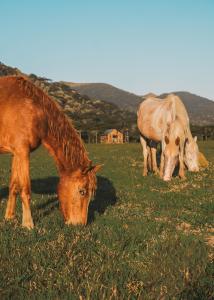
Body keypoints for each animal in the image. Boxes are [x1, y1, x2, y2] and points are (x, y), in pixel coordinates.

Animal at [0, 75, 101, 230]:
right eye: (82, 191)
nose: (79, 225)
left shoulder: (16, 153)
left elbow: (14, 186)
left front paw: (9, 217)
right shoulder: (23, 152)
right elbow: (25, 189)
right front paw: (28, 224)